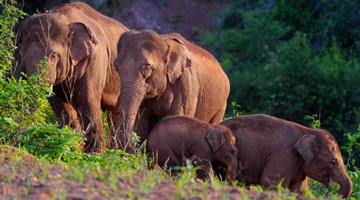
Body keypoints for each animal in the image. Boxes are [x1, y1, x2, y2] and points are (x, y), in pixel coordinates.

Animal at [18, 1, 128, 153]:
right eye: (22, 55)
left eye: (54, 56)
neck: (66, 19)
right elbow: (60, 104)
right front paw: (72, 148)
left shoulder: (95, 60)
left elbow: (88, 100)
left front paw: (94, 154)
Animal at [219, 114, 352, 198]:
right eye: (333, 161)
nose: (337, 194)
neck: (308, 131)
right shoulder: (284, 155)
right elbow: (270, 182)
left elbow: (300, 190)